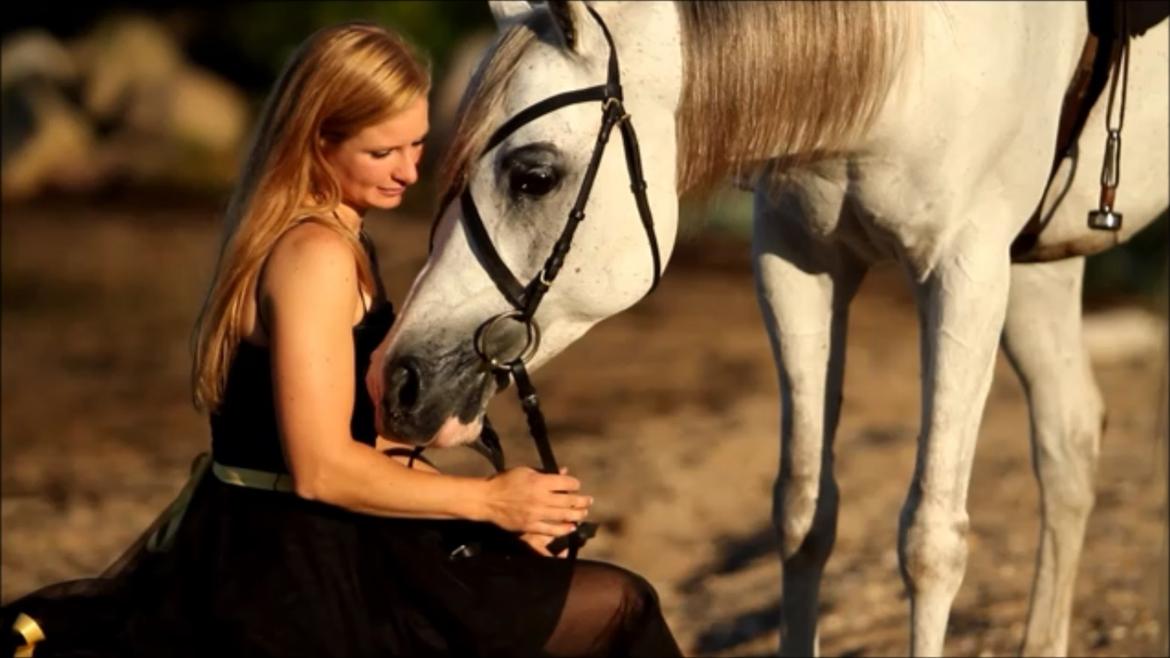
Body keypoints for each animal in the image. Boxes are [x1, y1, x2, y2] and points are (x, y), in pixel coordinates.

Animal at [374, 2, 1170, 650]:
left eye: (532, 175)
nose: (399, 379)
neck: (910, 48)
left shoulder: (965, 270)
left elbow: (930, 540)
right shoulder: (798, 261)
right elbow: (803, 514)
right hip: (1036, 269)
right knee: (1068, 440)